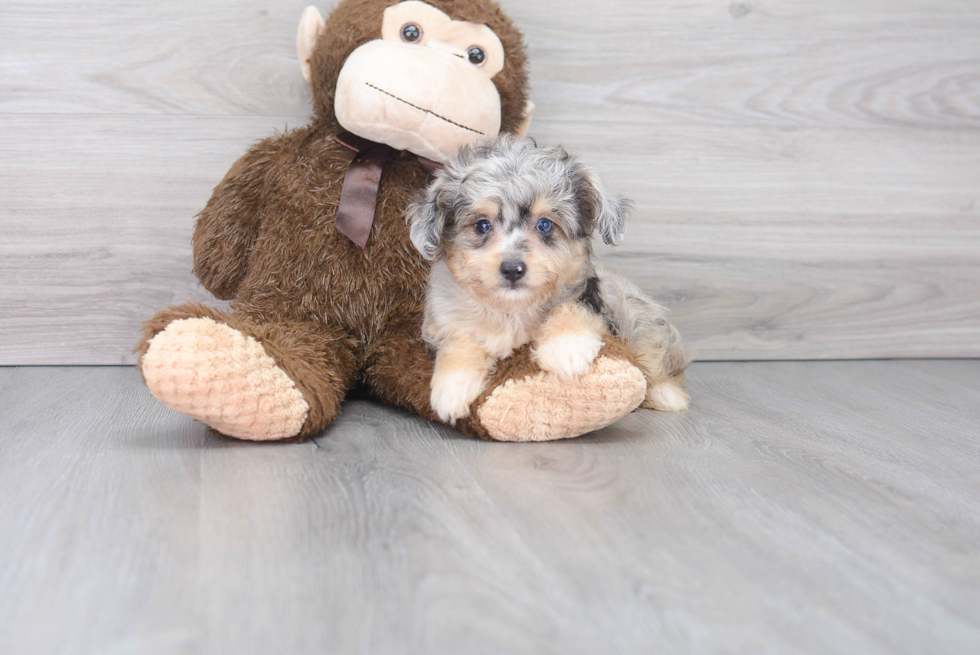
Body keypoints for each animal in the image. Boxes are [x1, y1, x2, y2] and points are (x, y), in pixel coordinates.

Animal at [406, 136, 688, 428]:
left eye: (544, 225)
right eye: (482, 225)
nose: (512, 269)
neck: (512, 310)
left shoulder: (592, 298)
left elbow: (572, 309)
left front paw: (566, 351)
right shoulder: (446, 319)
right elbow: (460, 340)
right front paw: (451, 388)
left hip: (642, 318)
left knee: (658, 359)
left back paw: (666, 395)